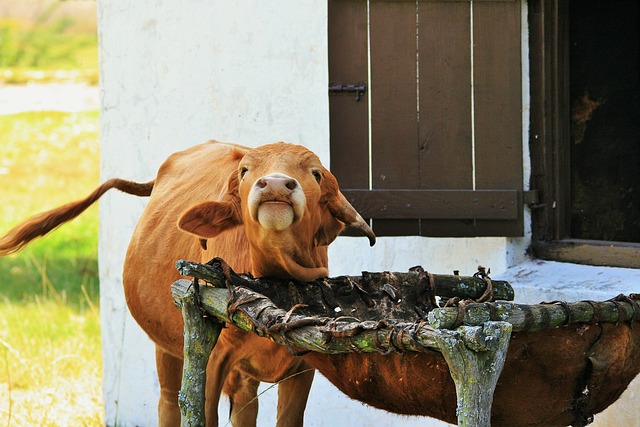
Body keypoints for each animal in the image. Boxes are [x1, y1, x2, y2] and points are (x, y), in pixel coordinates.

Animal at [0, 141, 378, 427]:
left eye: (315, 173)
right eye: (246, 171)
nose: (273, 185)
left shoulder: (301, 367)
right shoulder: (210, 358)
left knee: (245, 406)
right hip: (167, 348)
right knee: (169, 403)